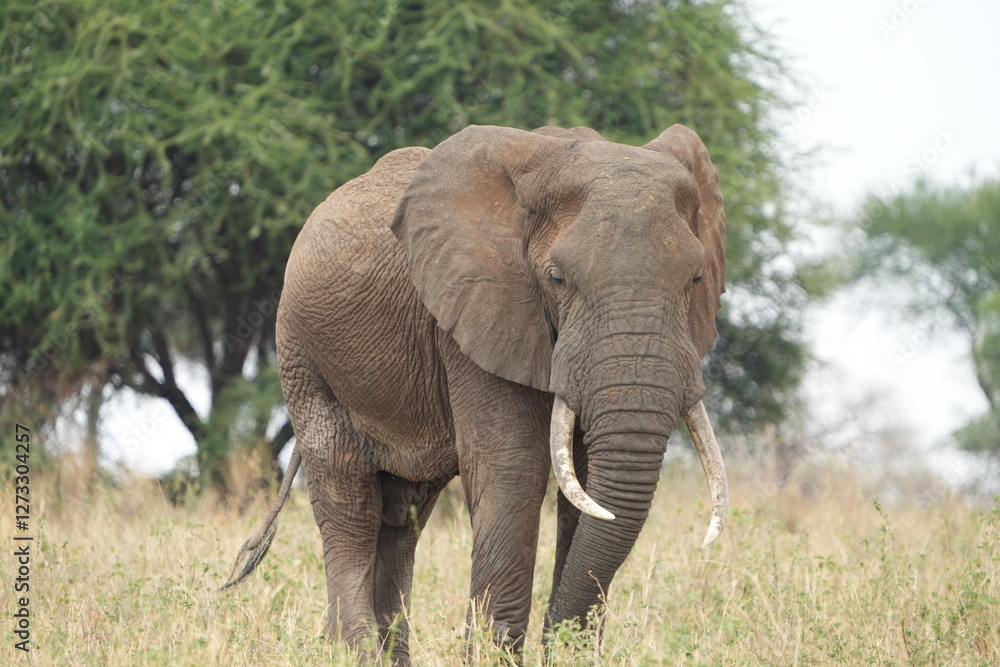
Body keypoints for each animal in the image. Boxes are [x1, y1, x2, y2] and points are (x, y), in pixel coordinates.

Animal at [223, 123, 729, 664]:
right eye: (557, 278)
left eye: (696, 278)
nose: (559, 642)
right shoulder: (478, 307)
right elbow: (513, 466)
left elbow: (587, 480)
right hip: (302, 351)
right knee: (349, 502)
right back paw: (355, 650)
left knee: (400, 516)